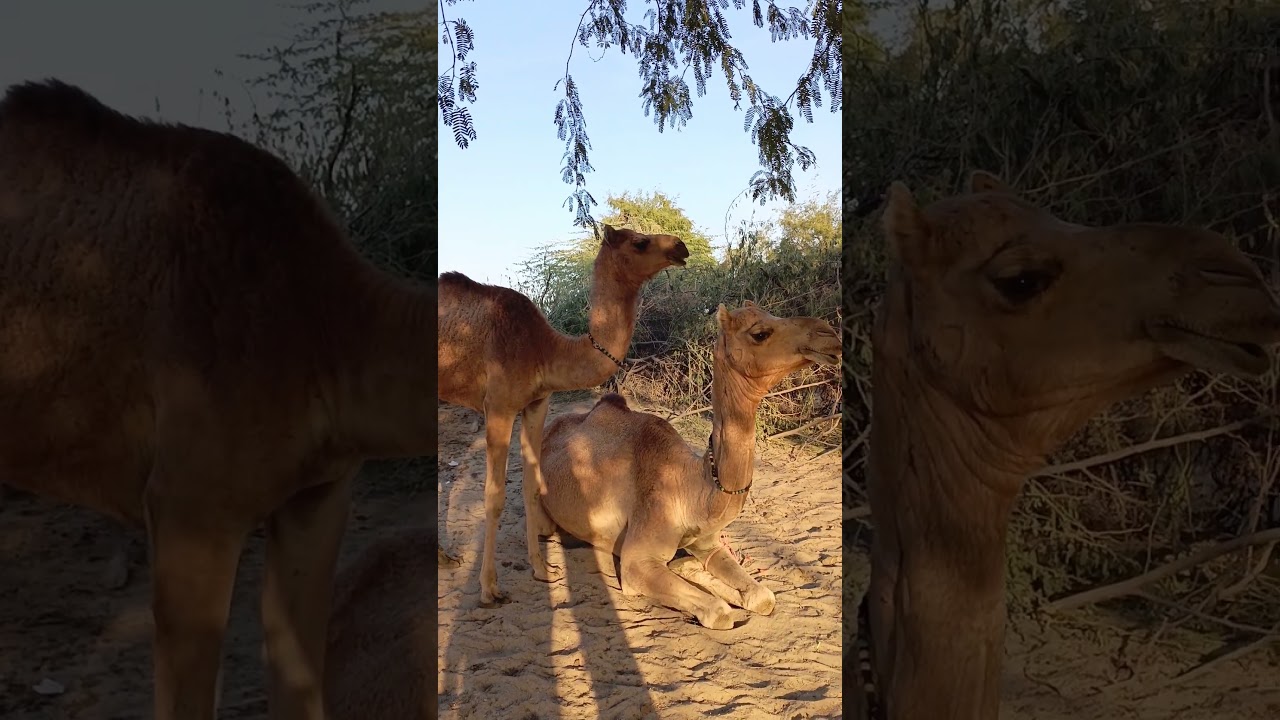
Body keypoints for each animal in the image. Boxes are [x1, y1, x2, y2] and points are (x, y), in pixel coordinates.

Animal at [438, 227, 689, 606]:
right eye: (639, 242)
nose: (681, 246)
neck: (544, 349)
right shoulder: (498, 405)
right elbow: (494, 496)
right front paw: (489, 588)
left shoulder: (536, 403)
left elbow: (530, 485)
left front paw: (543, 570)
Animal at [536, 302, 840, 629]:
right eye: (760, 333)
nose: (830, 334)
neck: (691, 489)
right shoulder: (636, 560)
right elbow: (720, 612)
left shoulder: (708, 542)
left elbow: (763, 597)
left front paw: (695, 570)